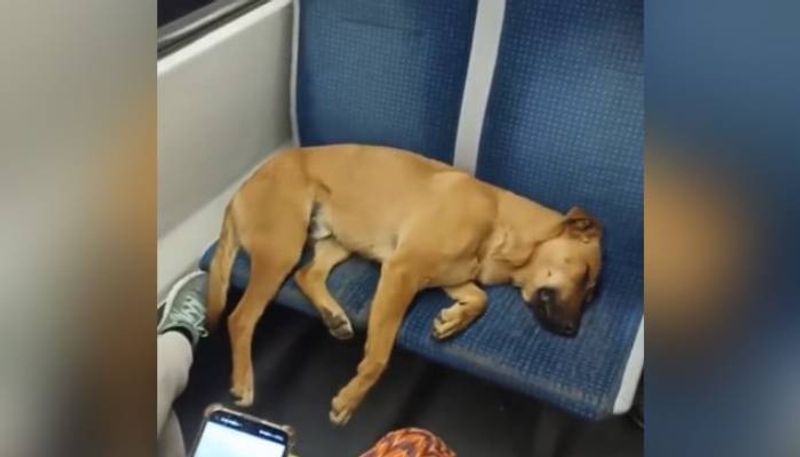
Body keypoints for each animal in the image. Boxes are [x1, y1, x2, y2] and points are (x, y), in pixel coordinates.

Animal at [206, 142, 600, 424]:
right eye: (585, 277)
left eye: (591, 293)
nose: (572, 330)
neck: (500, 223)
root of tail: (238, 193)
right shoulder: (402, 272)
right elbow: (380, 355)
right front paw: (352, 397)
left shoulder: (450, 278)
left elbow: (480, 300)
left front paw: (452, 321)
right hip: (282, 250)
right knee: (241, 318)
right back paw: (244, 382)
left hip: (339, 241)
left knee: (308, 274)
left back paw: (333, 315)